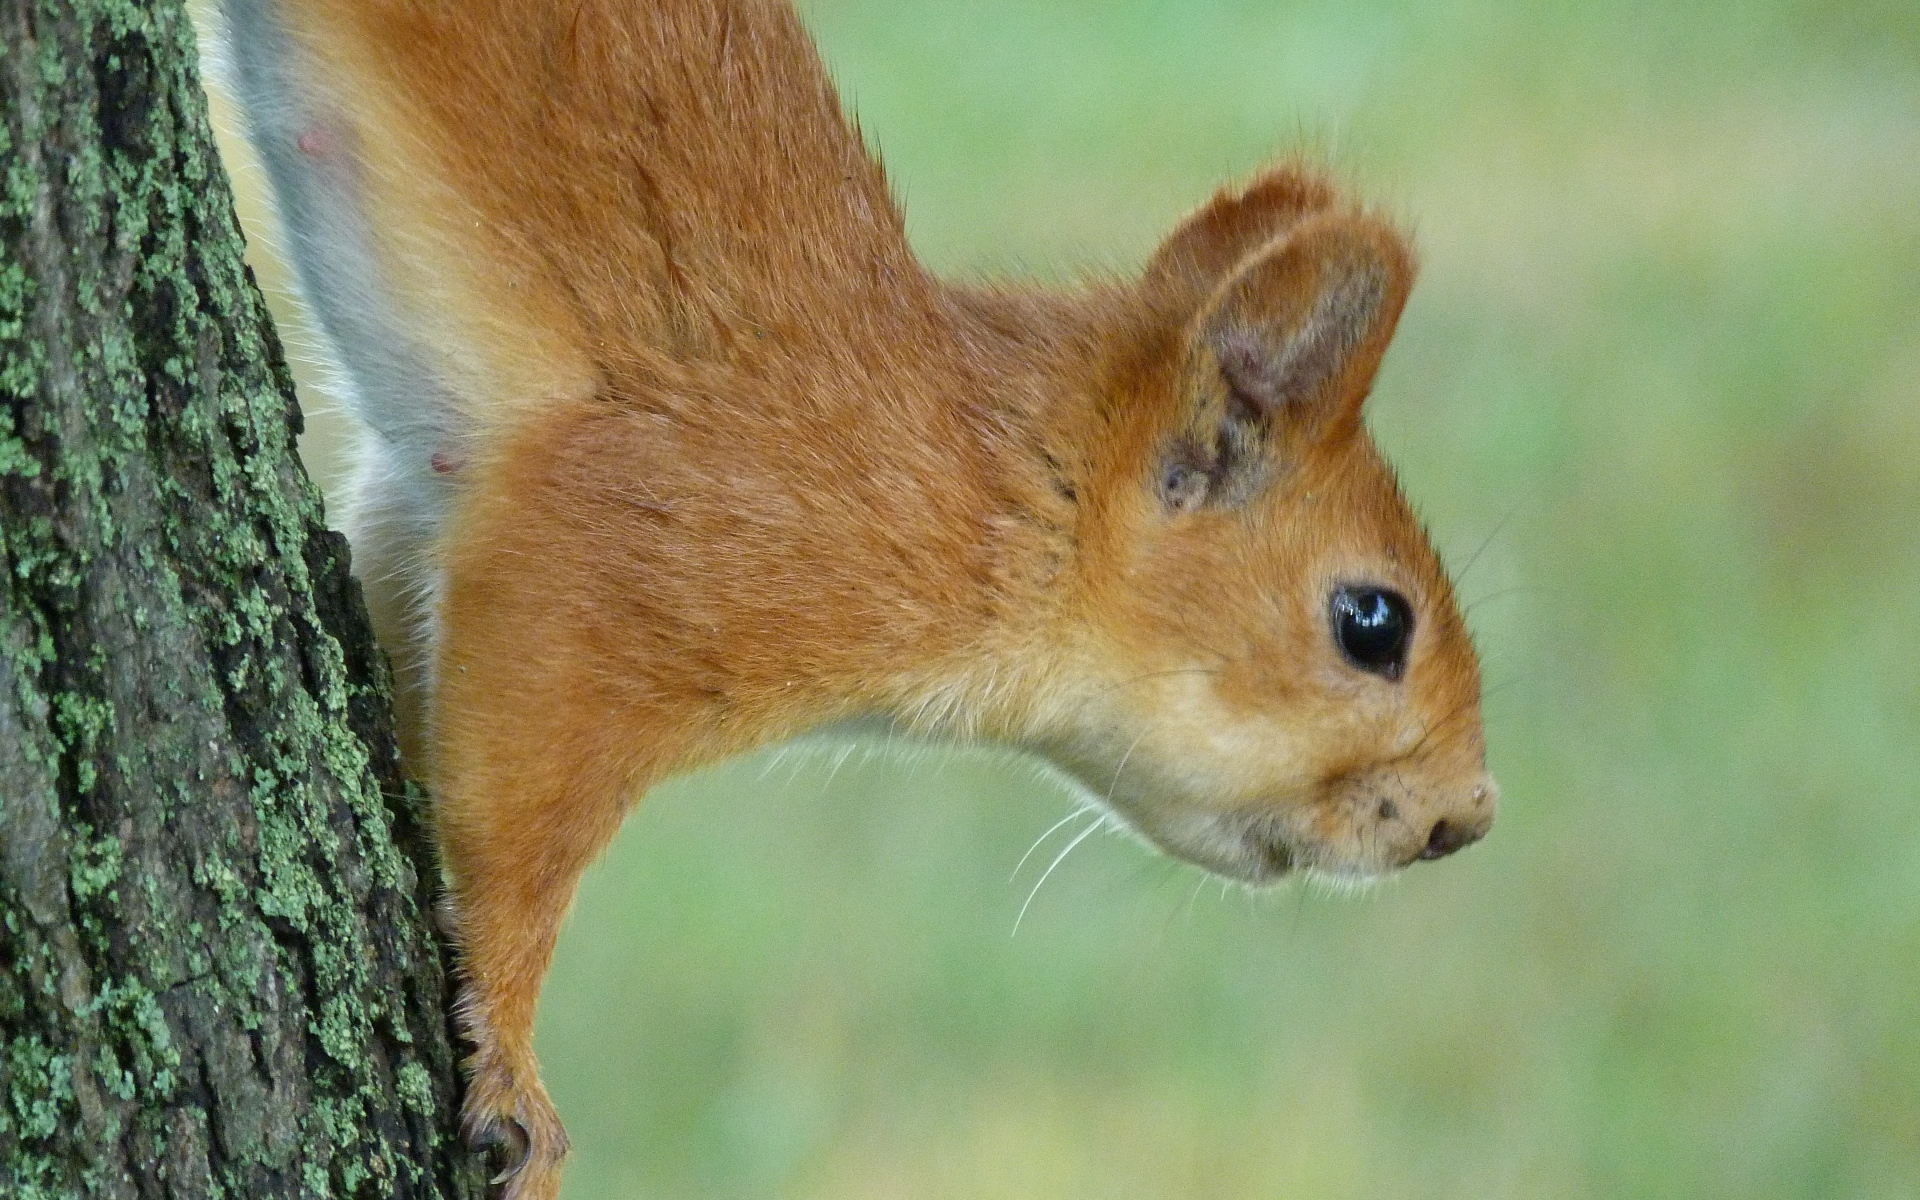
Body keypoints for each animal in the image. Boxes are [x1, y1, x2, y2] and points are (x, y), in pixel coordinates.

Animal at [212, 0, 1498, 1195]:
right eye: (1373, 624)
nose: (1467, 821)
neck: (999, 494)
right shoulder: (615, 553)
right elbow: (507, 836)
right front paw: (513, 1071)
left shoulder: (418, 514)